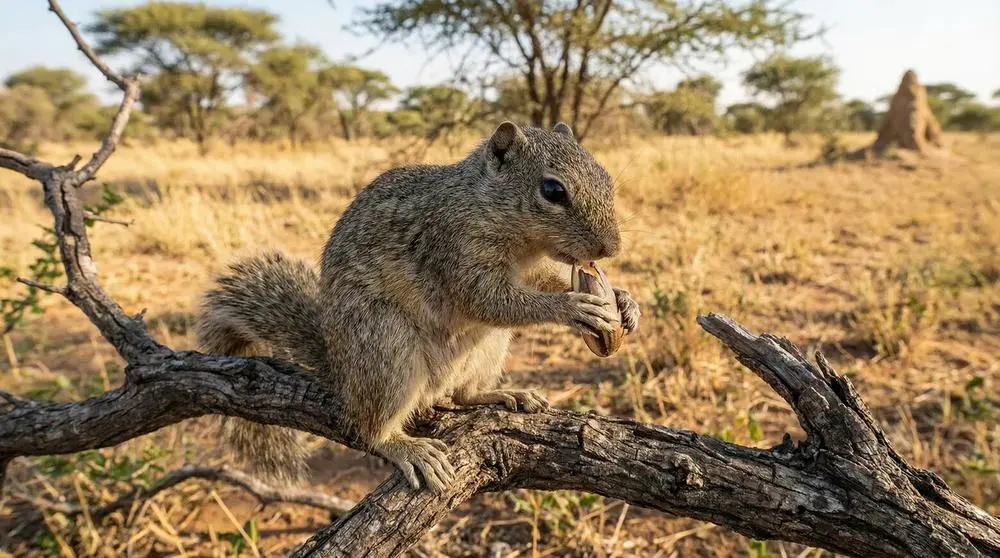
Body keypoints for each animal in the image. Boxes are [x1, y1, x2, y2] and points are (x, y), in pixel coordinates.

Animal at [196, 121, 640, 492]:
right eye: (552, 190)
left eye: (604, 176)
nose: (611, 248)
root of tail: (340, 370)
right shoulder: (452, 248)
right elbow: (488, 299)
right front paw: (573, 307)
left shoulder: (528, 266)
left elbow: (539, 282)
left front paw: (625, 301)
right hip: (385, 348)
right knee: (366, 429)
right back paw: (407, 448)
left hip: (487, 348)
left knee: (462, 395)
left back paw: (502, 394)